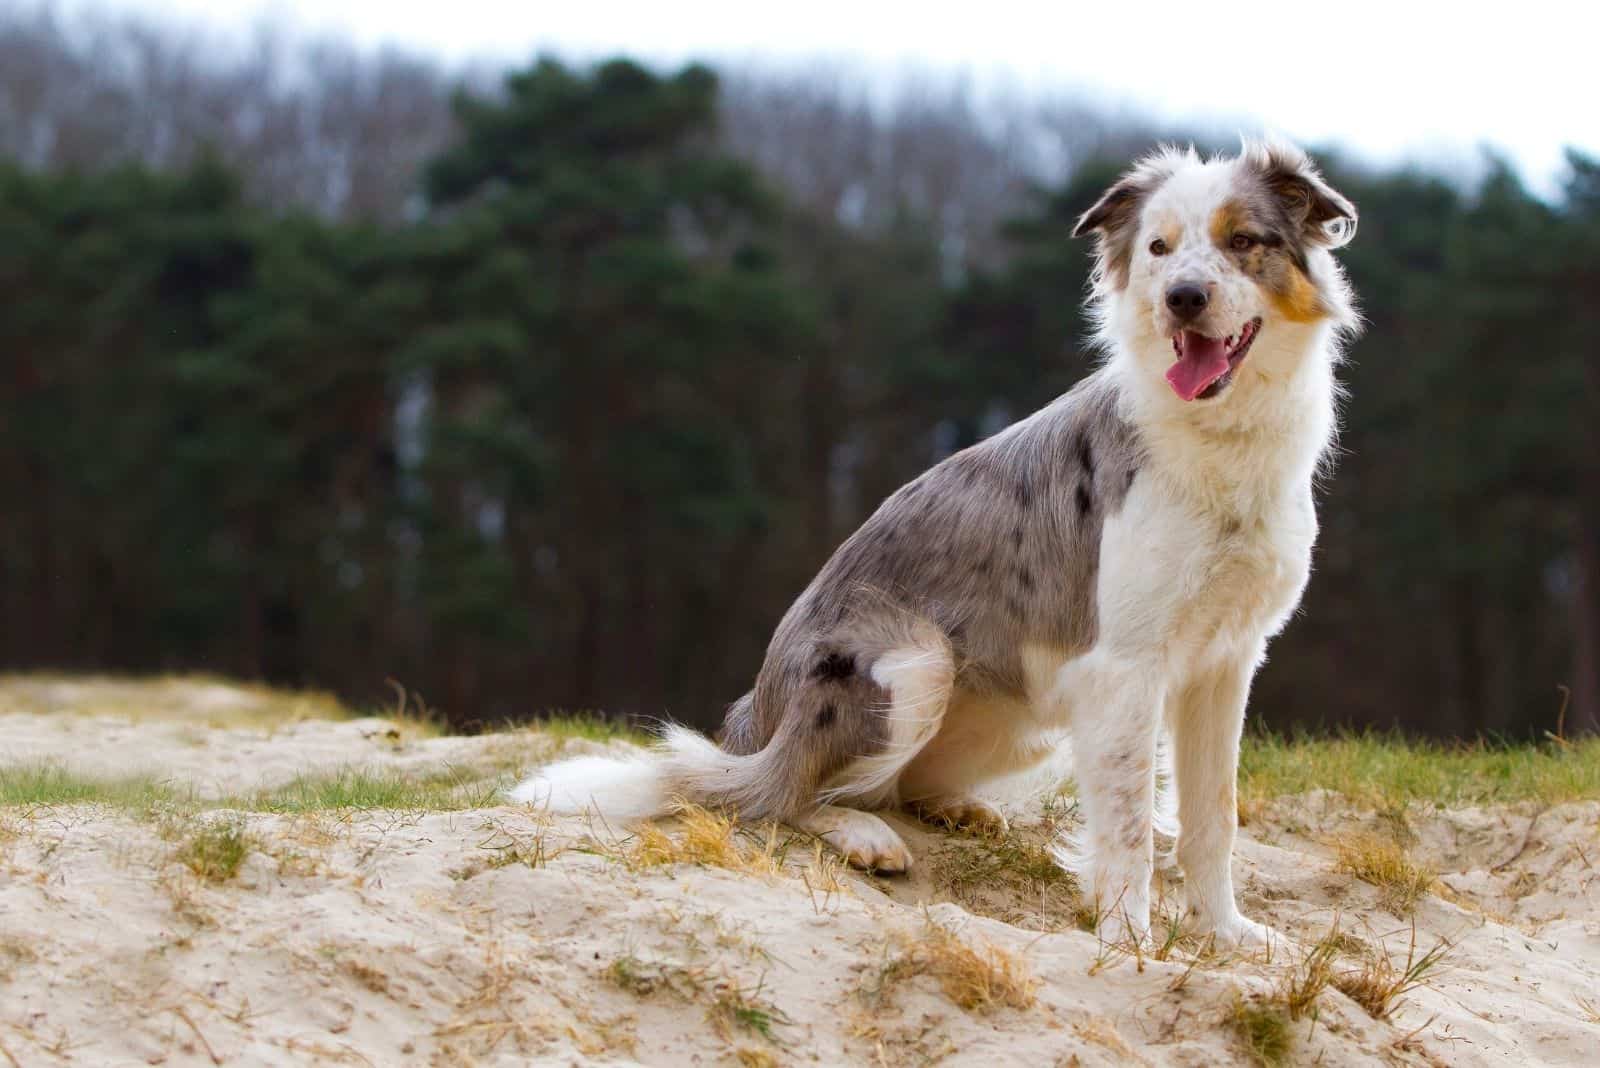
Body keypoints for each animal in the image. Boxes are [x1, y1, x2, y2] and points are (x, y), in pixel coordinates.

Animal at [515, 137, 1363, 946]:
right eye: (1159, 248)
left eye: (1242, 241)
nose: (1183, 298)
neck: (1218, 439)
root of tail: (752, 721)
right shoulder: (1124, 667)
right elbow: (1125, 827)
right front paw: (1128, 938)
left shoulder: (1226, 662)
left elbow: (1212, 817)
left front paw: (1225, 934)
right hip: (915, 663)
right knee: (784, 794)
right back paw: (862, 834)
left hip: (1027, 717)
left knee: (895, 786)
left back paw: (956, 808)